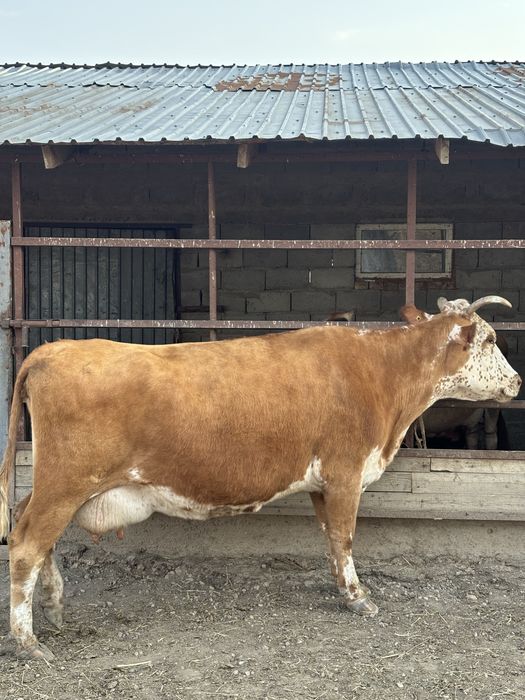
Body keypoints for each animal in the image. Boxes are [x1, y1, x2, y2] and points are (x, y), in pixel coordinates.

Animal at [0, 295, 521, 661]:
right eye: (492, 340)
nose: (517, 382)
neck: (382, 375)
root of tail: (52, 350)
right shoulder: (346, 471)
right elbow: (346, 536)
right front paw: (358, 598)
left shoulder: (321, 483)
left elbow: (331, 539)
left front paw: (342, 589)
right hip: (65, 483)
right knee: (26, 542)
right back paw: (30, 642)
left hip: (57, 485)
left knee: (31, 527)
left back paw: (54, 605)